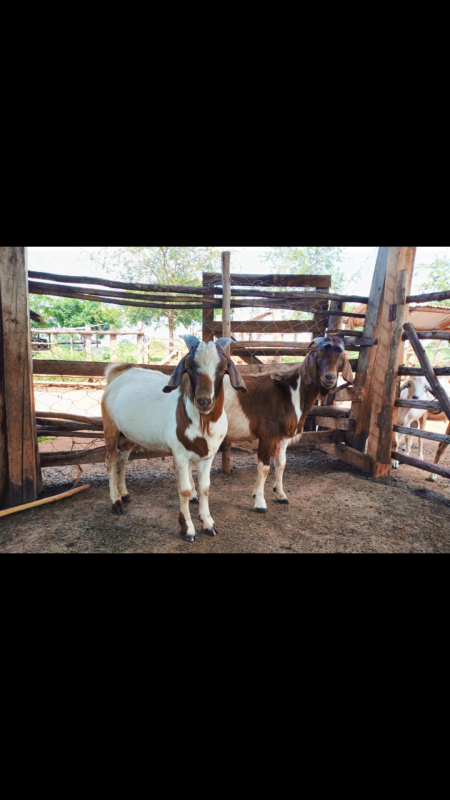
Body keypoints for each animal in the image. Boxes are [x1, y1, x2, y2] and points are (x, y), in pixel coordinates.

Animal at [101, 336, 246, 541]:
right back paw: (116, 502)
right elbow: (185, 490)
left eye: (223, 368)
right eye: (189, 368)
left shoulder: (208, 455)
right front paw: (188, 529)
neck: (203, 423)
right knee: (111, 461)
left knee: (122, 460)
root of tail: (116, 374)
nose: (204, 401)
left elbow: (205, 488)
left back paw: (125, 494)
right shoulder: (180, 455)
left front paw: (209, 524)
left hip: (128, 435)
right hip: (111, 428)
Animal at [223, 335, 354, 511]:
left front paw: (281, 495)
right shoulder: (268, 434)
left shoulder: (282, 437)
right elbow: (264, 466)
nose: (330, 378)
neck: (291, 395)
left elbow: (281, 464)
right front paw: (259, 502)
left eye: (341, 359)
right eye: (318, 356)